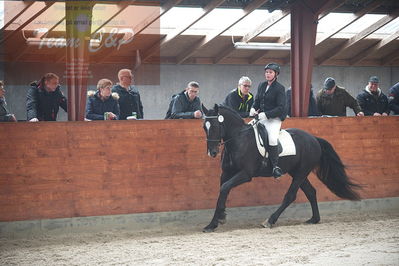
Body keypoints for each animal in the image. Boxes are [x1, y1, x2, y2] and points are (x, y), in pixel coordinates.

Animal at [202, 104, 360, 233]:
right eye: (204, 127)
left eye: (215, 126)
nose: (212, 152)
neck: (239, 140)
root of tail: (314, 139)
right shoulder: (226, 173)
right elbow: (223, 190)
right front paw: (216, 220)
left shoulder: (245, 174)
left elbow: (225, 188)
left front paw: (215, 221)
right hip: (297, 173)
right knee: (311, 192)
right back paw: (314, 219)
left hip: (301, 173)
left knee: (290, 196)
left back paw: (270, 221)